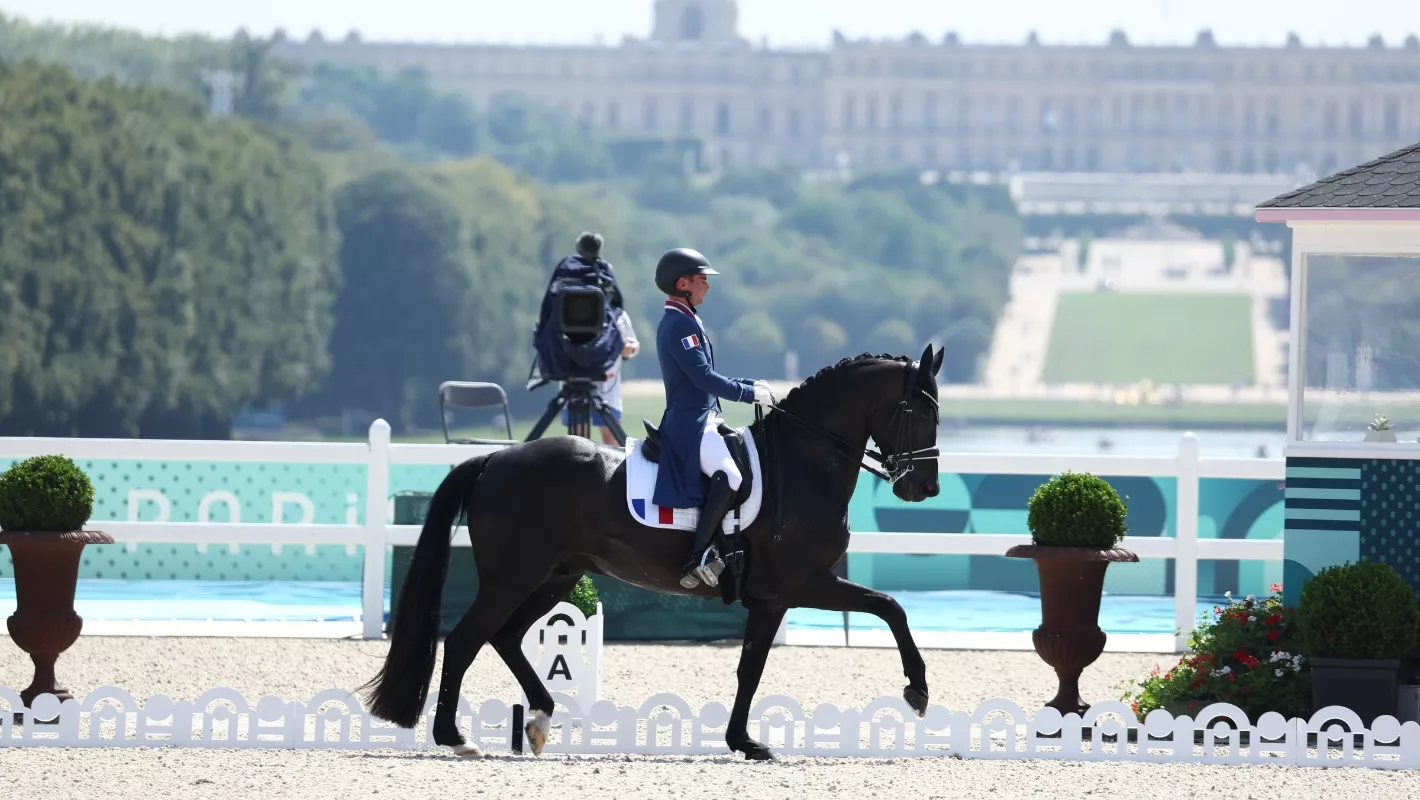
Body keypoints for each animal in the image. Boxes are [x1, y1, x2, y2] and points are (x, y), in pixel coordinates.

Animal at [363, 342, 942, 755]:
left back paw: (540, 718)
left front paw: (743, 742)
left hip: (555, 576)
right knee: (465, 640)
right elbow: (891, 607)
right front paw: (917, 690)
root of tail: (495, 460)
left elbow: (750, 668)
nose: (924, 488)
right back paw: (455, 738)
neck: (801, 463)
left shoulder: (773, 598)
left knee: (505, 637)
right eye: (919, 412)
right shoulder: (806, 582)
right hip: (513, 577)